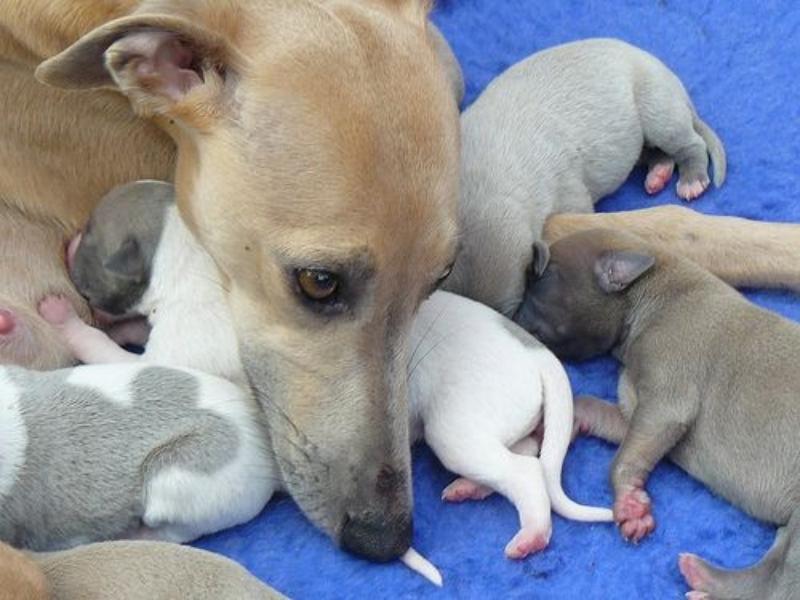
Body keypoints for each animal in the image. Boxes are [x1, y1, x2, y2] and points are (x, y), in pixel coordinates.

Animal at [410, 290, 608, 556]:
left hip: (451, 430)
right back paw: (470, 487)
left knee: (525, 472)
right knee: (526, 450)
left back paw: (532, 535)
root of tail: (538, 353)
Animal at [446, 37, 728, 316]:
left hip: (657, 107)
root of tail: (670, 78)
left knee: (690, 143)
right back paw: (658, 174)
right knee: (655, 153)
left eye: (509, 312)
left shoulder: (568, 192)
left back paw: (692, 180)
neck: (486, 178)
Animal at [520, 229, 800, 600]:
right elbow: (602, 413)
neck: (654, 292)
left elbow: (623, 458)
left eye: (542, 278)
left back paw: (705, 577)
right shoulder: (638, 414)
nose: (511, 316)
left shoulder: (667, 400)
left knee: (778, 580)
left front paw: (629, 505)